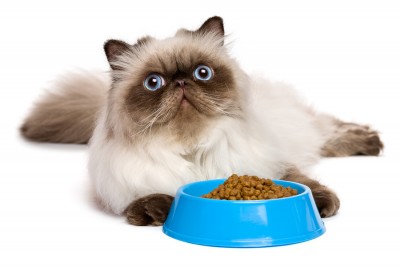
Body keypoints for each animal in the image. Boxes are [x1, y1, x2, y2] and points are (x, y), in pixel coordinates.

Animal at [20, 16, 382, 226]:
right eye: (154, 83)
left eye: (202, 73)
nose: (181, 82)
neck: (193, 149)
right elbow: (151, 197)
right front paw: (157, 212)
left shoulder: (271, 162)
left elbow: (300, 180)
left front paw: (321, 204)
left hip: (301, 126)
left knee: (329, 129)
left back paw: (370, 141)